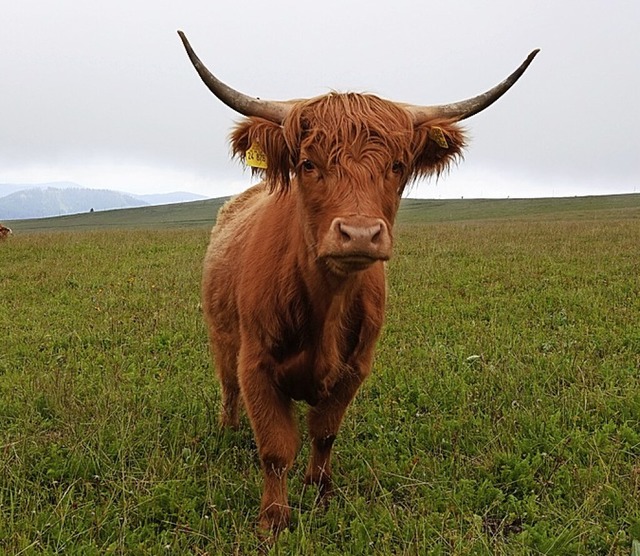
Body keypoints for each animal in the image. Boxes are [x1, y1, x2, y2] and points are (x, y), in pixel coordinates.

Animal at [178, 31, 536, 536]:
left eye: (398, 165)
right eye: (308, 163)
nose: (361, 233)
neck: (325, 306)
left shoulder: (355, 368)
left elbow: (324, 434)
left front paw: (320, 492)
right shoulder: (257, 364)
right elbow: (275, 448)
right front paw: (273, 518)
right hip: (221, 335)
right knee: (227, 387)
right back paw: (228, 430)